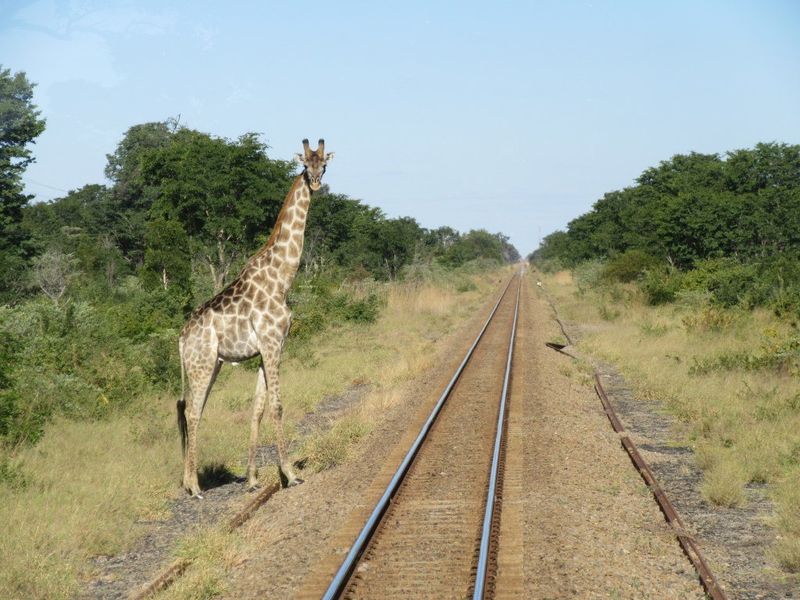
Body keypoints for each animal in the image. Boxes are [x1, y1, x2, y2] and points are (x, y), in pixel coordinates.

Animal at [177, 138, 334, 497]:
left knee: (194, 410)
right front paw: (290, 473)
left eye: (325, 165)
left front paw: (252, 478)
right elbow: (276, 405)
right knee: (192, 411)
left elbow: (258, 408)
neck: (282, 278)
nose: (316, 182)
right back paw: (194, 487)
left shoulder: (266, 348)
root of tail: (181, 337)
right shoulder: (273, 343)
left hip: (213, 364)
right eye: (305, 164)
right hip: (201, 364)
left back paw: (190, 482)